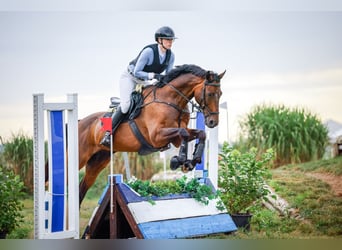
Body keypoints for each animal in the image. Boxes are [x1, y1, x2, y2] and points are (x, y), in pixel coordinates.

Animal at [78, 64, 226, 203]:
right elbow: (183, 132)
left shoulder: (175, 138)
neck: (171, 100)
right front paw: (179, 160)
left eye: (220, 93)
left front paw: (191, 161)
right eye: (210, 94)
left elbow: (200, 134)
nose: (213, 122)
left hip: (99, 160)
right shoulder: (156, 137)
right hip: (81, 157)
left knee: (82, 188)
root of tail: (80, 121)